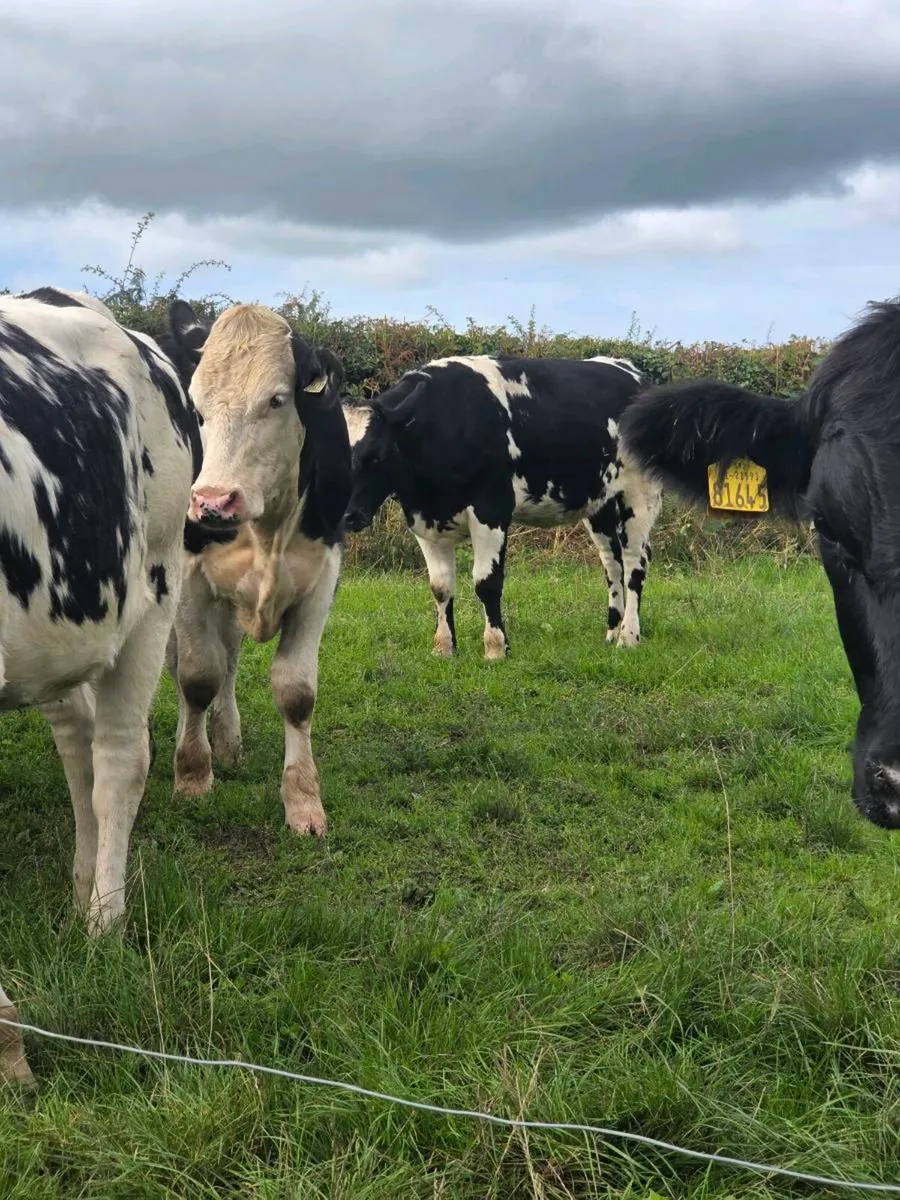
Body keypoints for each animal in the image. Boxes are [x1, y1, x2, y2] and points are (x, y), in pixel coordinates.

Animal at [159, 300, 352, 838]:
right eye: (198, 409)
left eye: (277, 400)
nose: (212, 501)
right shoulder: (191, 580)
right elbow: (196, 678)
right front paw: (192, 777)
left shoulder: (321, 579)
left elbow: (295, 692)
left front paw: (304, 801)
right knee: (189, 663)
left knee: (229, 657)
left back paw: (227, 739)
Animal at [342, 354, 663, 658]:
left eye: (376, 455)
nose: (348, 516)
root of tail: (632, 373)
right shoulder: (423, 520)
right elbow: (440, 587)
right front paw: (444, 648)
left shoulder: (490, 510)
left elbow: (487, 582)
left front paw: (496, 648)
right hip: (600, 503)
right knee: (612, 561)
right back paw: (612, 631)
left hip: (639, 495)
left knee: (635, 560)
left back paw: (628, 636)